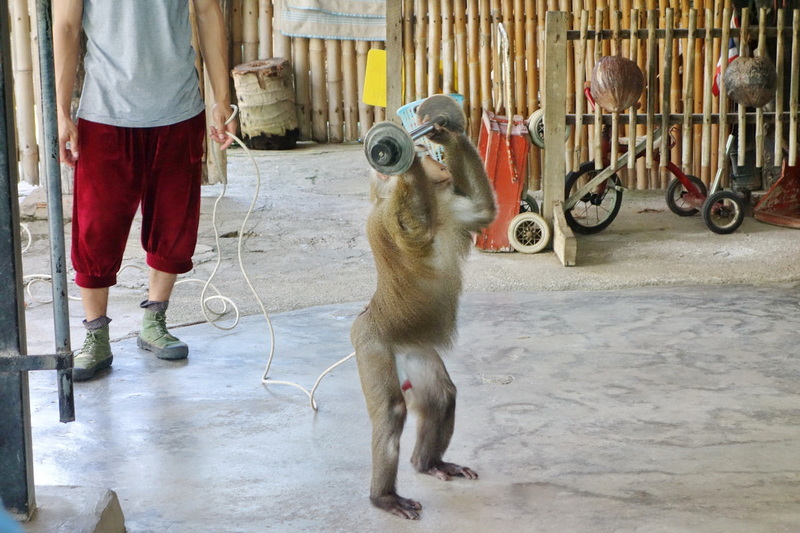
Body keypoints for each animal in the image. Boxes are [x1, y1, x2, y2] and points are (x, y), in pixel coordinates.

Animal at [351, 100, 497, 519]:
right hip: (371, 344)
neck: (435, 204)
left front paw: (442, 128)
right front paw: (403, 162)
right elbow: (412, 228)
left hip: (415, 351)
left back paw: (428, 463)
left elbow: (483, 211)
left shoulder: (454, 208)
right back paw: (383, 497)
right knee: (392, 411)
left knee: (441, 395)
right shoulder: (390, 217)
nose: (438, 165)